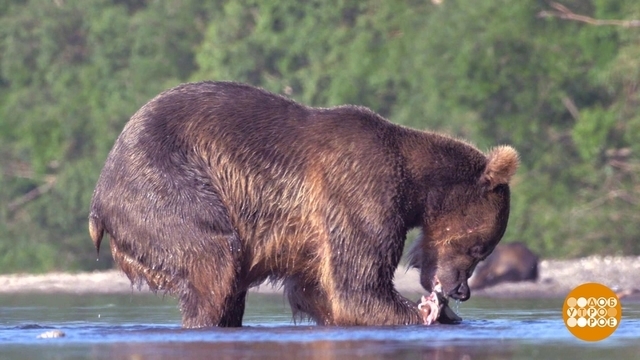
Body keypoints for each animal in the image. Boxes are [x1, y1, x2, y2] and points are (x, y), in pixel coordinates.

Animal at [89, 80, 520, 328]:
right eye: (480, 248)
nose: (461, 291)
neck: (416, 182)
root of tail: (100, 192)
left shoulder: (311, 232)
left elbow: (317, 288)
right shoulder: (361, 189)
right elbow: (358, 286)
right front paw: (422, 313)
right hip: (165, 186)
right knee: (213, 256)